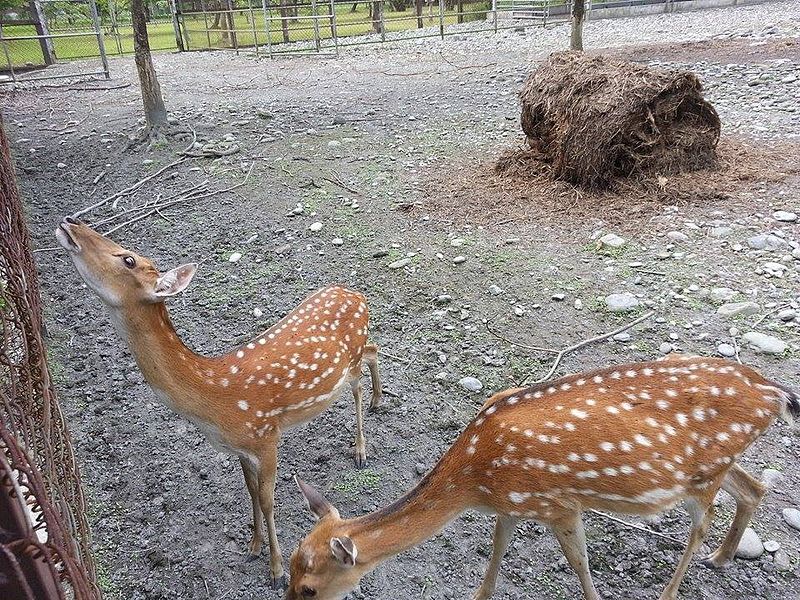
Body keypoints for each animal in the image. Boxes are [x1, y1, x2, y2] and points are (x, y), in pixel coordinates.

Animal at [54, 216, 382, 588]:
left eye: (128, 259)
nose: (70, 221)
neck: (214, 401)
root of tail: (357, 294)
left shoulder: (266, 436)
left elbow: (268, 500)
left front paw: (276, 571)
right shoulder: (240, 447)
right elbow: (250, 492)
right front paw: (253, 546)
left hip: (349, 363)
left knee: (358, 381)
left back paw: (361, 449)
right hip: (356, 352)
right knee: (374, 351)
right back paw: (377, 400)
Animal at [285, 356, 798, 600]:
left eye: (309, 588)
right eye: (288, 568)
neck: (477, 476)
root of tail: (775, 392)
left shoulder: (558, 503)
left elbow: (580, 565)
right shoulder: (513, 503)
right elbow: (496, 549)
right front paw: (478, 593)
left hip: (700, 478)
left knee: (702, 522)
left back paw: (673, 588)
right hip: (720, 464)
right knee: (754, 487)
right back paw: (722, 557)